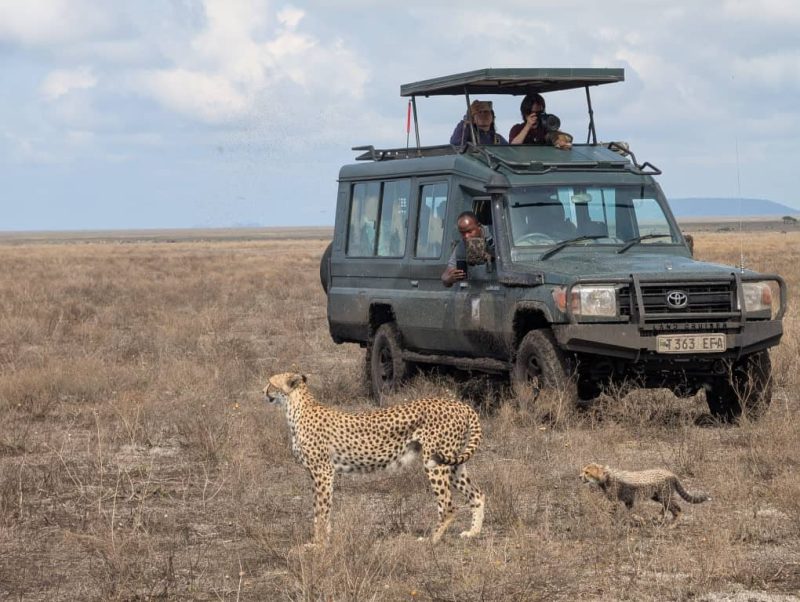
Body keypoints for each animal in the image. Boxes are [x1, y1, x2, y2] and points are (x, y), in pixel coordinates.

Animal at [264, 372, 485, 544]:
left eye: (271, 383)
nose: (263, 391)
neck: (295, 407)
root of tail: (459, 404)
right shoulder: (318, 473)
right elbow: (320, 510)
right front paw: (322, 540)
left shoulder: (323, 471)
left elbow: (321, 510)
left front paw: (317, 545)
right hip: (452, 461)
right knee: (477, 494)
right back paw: (472, 533)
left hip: (435, 462)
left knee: (448, 506)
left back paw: (431, 539)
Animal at [580, 462, 711, 525]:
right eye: (583, 471)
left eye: (587, 472)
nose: (579, 476)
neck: (605, 476)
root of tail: (671, 473)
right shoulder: (629, 500)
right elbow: (629, 512)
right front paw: (634, 520)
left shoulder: (615, 501)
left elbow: (610, 513)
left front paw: (605, 522)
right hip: (657, 496)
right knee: (667, 507)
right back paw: (659, 518)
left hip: (664, 495)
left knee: (677, 509)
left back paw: (671, 525)